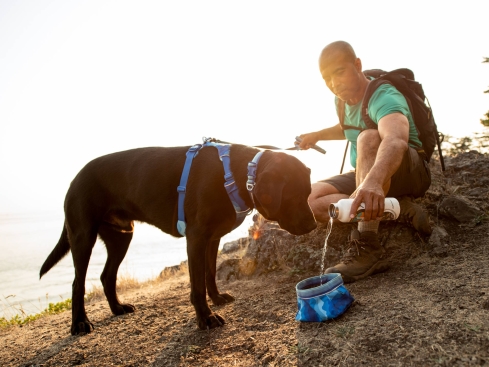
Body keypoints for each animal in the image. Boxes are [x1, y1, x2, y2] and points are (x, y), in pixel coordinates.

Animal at [39, 144, 316, 336]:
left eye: (308, 193)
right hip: (82, 236)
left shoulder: (212, 239)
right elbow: (197, 286)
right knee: (78, 283)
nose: (314, 225)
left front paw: (216, 299)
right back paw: (80, 323)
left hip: (121, 237)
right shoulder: (196, 238)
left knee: (107, 276)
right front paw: (206, 318)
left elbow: (209, 274)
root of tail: (75, 178)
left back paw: (117, 308)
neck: (235, 174)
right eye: (294, 194)